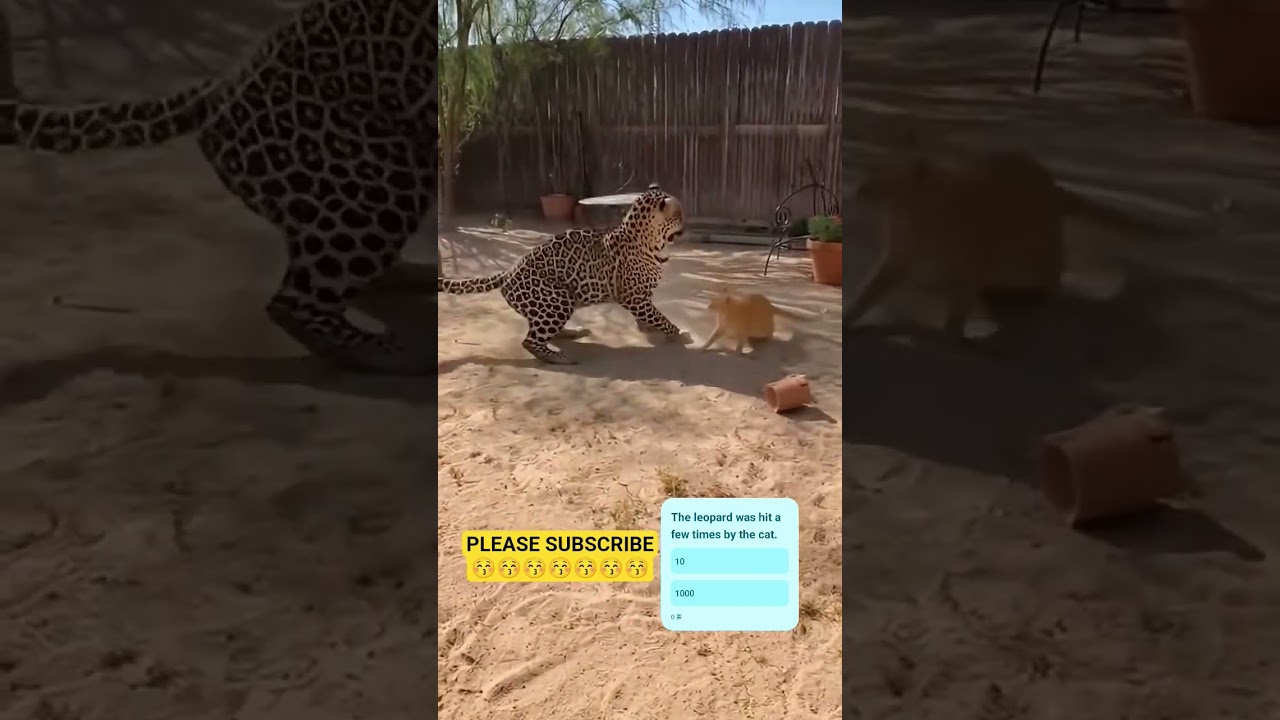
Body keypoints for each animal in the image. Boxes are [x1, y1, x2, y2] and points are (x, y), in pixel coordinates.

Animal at [438, 185, 689, 365]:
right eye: (679, 214)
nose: (686, 227)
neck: (654, 241)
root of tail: (510, 271)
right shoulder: (633, 297)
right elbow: (659, 316)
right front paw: (678, 332)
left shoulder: (641, 295)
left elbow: (651, 313)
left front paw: (648, 327)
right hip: (558, 299)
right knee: (530, 341)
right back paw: (560, 358)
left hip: (551, 305)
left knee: (543, 331)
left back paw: (573, 331)